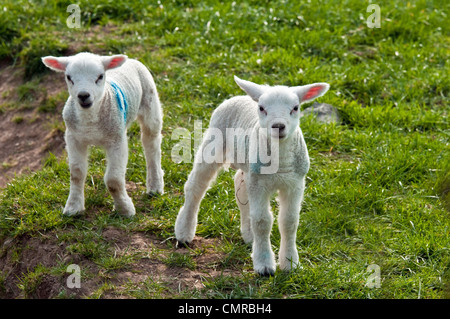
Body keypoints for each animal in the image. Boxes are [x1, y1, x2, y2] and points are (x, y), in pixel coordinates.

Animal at [41, 52, 164, 218]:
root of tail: (131, 59)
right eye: (69, 77)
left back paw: (155, 185)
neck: (90, 121)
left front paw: (124, 209)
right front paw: (73, 207)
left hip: (150, 102)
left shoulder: (116, 140)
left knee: (151, 144)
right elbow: (77, 174)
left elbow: (113, 180)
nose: (83, 95)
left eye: (100, 76)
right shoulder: (73, 138)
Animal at [176, 76, 330, 276]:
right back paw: (184, 232)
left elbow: (289, 221)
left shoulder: (294, 183)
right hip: (213, 145)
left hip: (248, 167)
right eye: (262, 108)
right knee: (195, 187)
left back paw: (249, 236)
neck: (279, 162)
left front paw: (290, 263)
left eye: (295, 108)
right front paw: (264, 264)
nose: (278, 126)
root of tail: (240, 96)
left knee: (240, 189)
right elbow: (262, 221)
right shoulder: (259, 183)